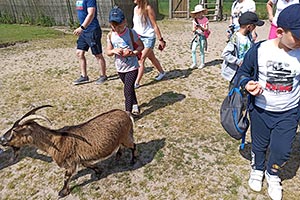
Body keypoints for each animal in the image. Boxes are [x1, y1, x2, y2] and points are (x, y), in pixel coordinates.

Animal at [0, 105, 137, 196]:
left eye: (14, 131)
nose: (2, 140)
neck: (56, 142)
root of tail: (126, 113)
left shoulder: (70, 161)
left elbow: (66, 177)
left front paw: (62, 192)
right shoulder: (80, 159)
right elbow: (88, 165)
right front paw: (99, 172)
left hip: (125, 136)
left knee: (133, 145)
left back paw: (132, 161)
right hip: (120, 138)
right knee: (121, 146)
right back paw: (118, 157)